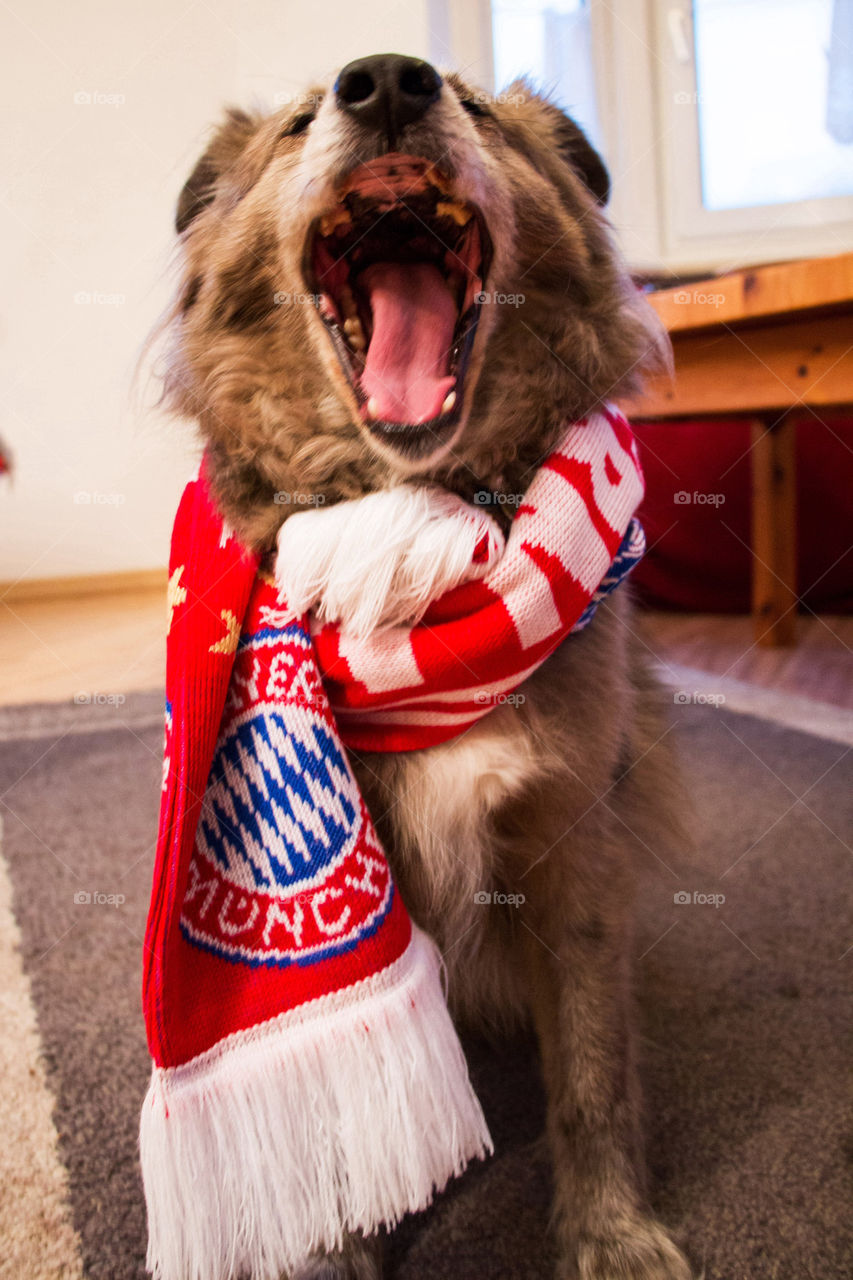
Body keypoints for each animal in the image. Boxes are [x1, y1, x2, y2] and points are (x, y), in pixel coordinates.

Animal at [159, 52, 691, 1280]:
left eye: (482, 113)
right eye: (299, 123)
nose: (387, 83)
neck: (415, 533)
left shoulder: (572, 845)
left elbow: (593, 1066)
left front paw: (609, 1230)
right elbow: (354, 1129)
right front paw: (348, 1249)